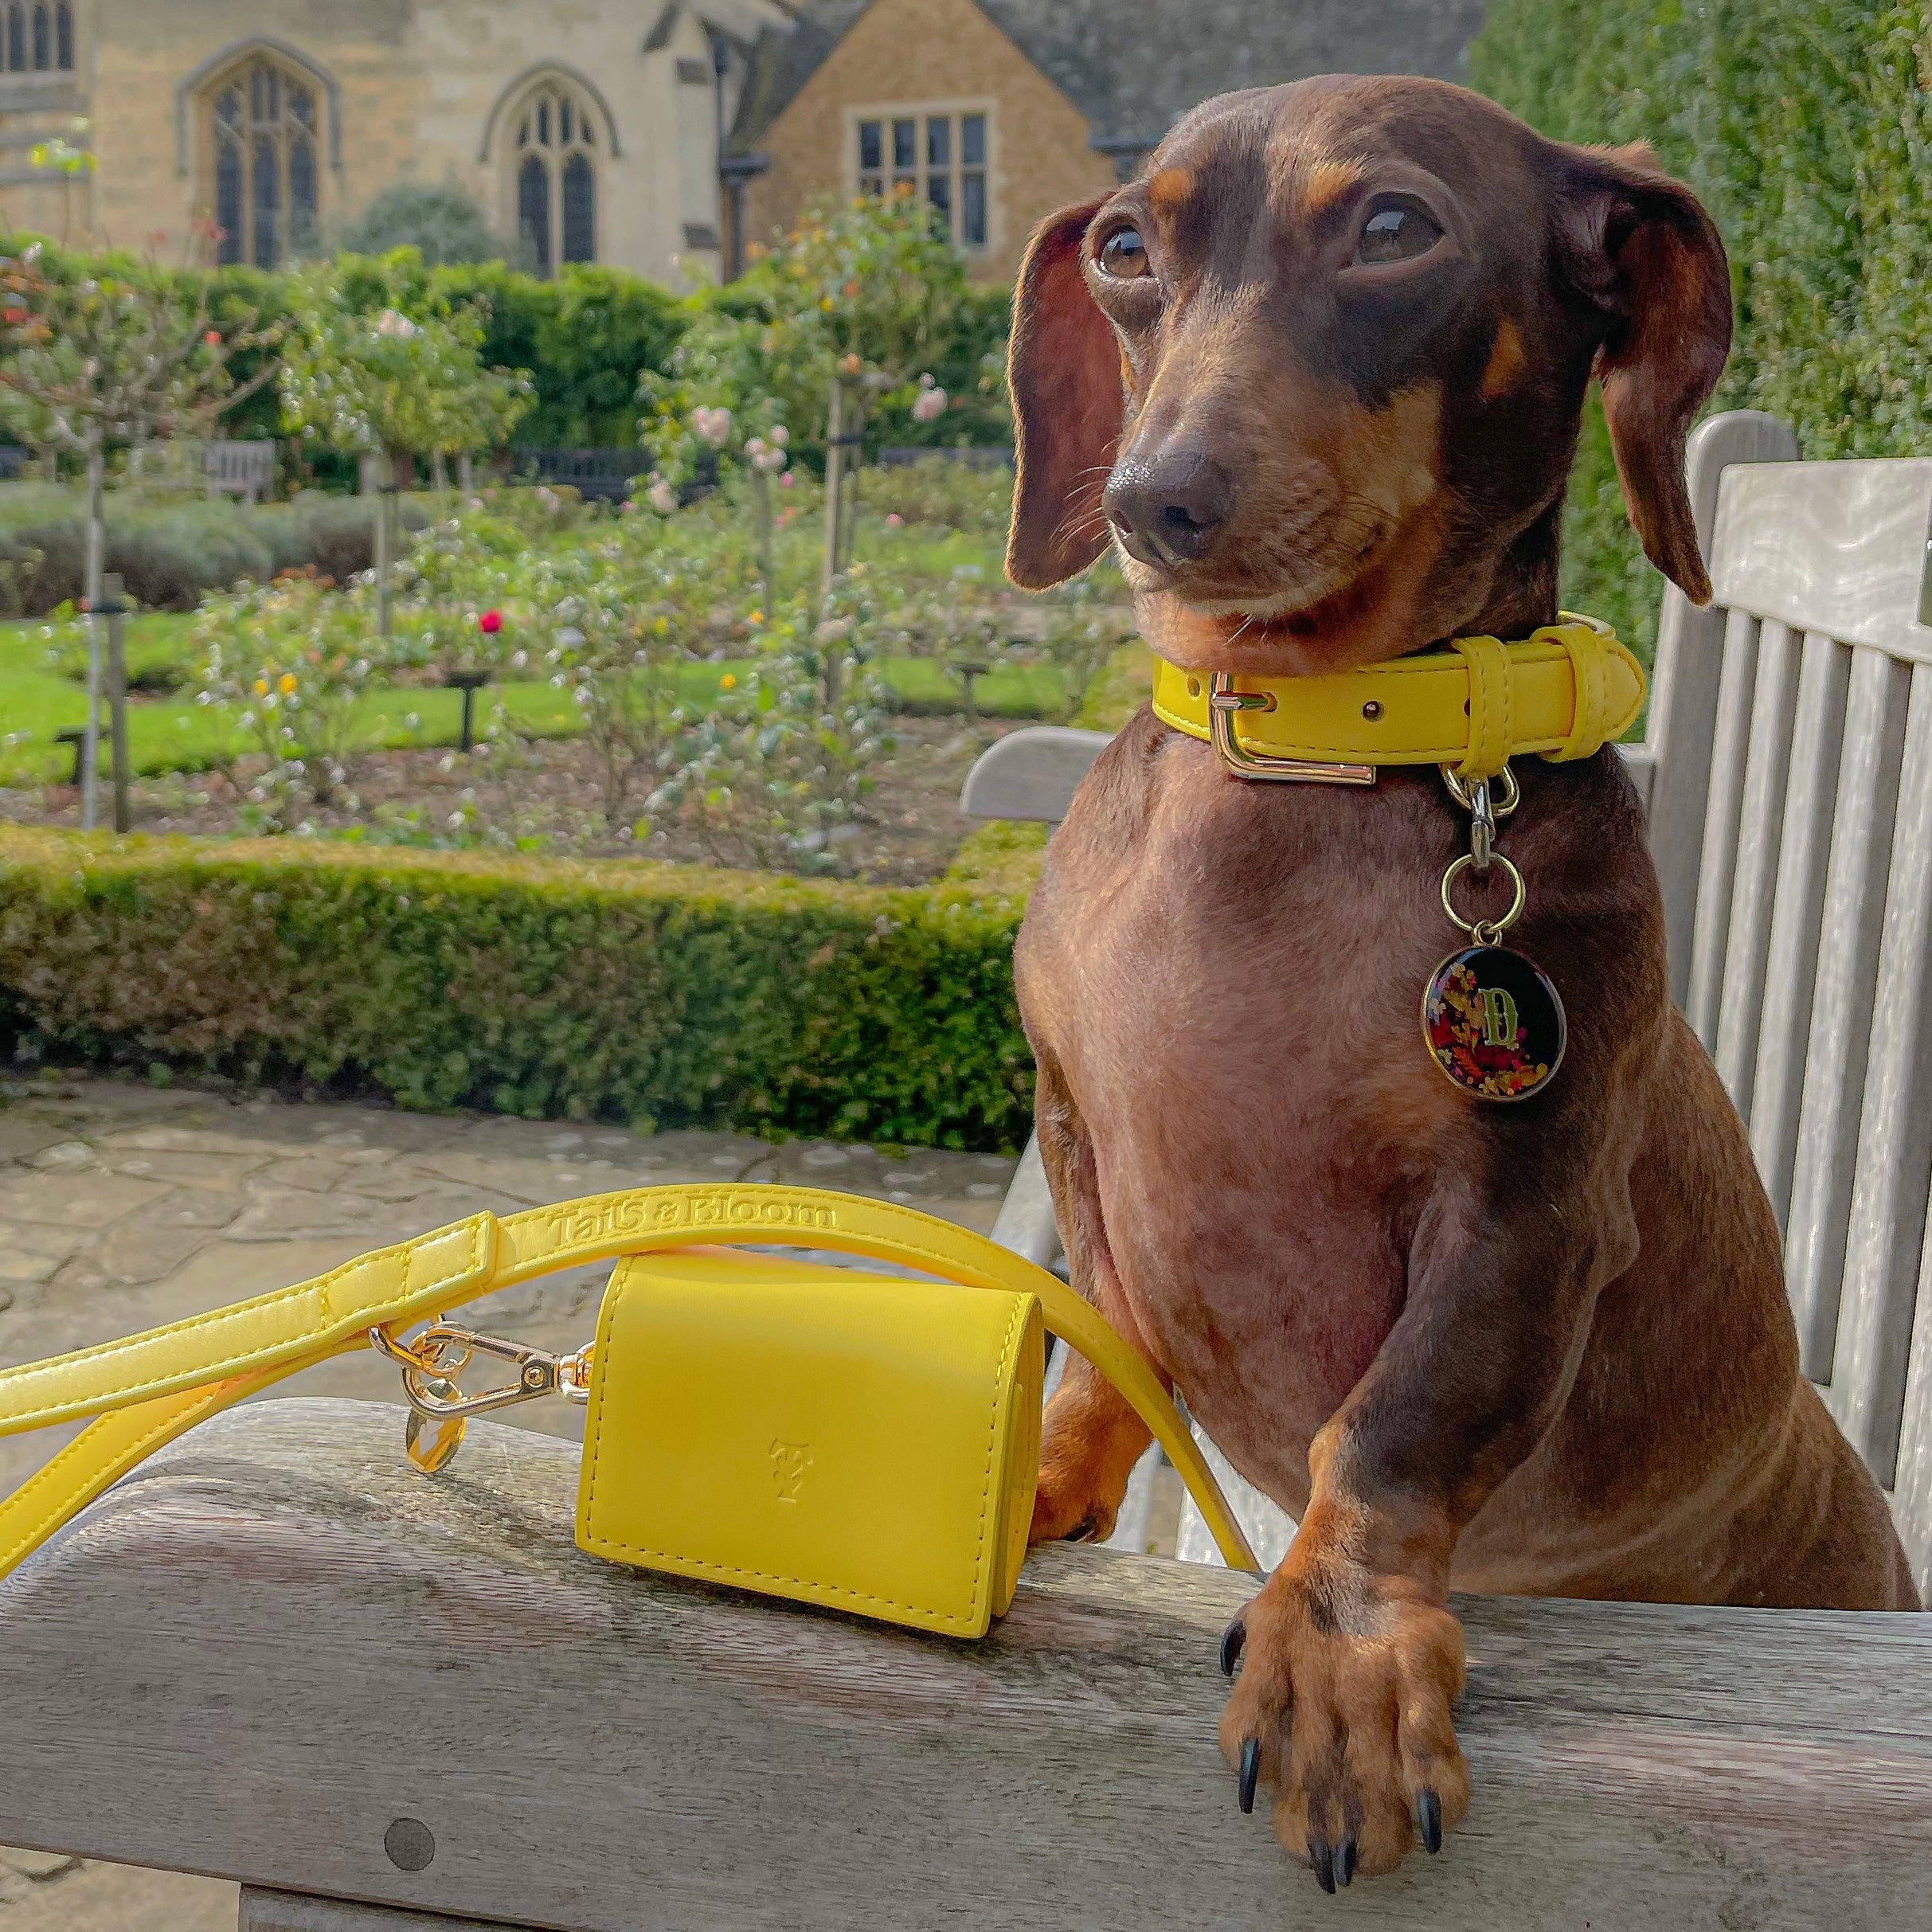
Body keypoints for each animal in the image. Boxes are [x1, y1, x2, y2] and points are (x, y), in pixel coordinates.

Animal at [1004, 75, 1908, 1885]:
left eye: (1391, 229)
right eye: (1127, 247)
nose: (1153, 502)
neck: (1298, 760)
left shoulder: (1524, 1217)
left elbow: (1394, 1426)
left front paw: (1339, 1644)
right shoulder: (1077, 1125)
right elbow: (1107, 1339)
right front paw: (1049, 1465)